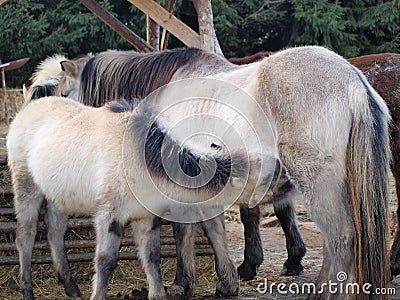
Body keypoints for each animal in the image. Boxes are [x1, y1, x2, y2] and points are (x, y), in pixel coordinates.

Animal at [53, 45, 390, 298]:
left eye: (64, 94)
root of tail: (352, 80)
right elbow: (211, 227)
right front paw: (225, 281)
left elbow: (184, 230)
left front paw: (182, 284)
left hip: (317, 182)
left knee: (341, 237)